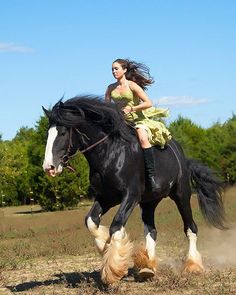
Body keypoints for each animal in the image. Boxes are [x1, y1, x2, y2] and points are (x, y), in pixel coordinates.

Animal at [42, 96, 225, 286]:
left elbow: (116, 225)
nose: (49, 167)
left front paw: (113, 269)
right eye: (48, 133)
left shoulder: (131, 196)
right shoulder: (106, 197)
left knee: (190, 228)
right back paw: (147, 268)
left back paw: (193, 265)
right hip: (149, 202)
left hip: (181, 195)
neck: (111, 153)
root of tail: (183, 157)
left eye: (63, 133)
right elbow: (91, 221)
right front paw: (105, 245)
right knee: (151, 231)